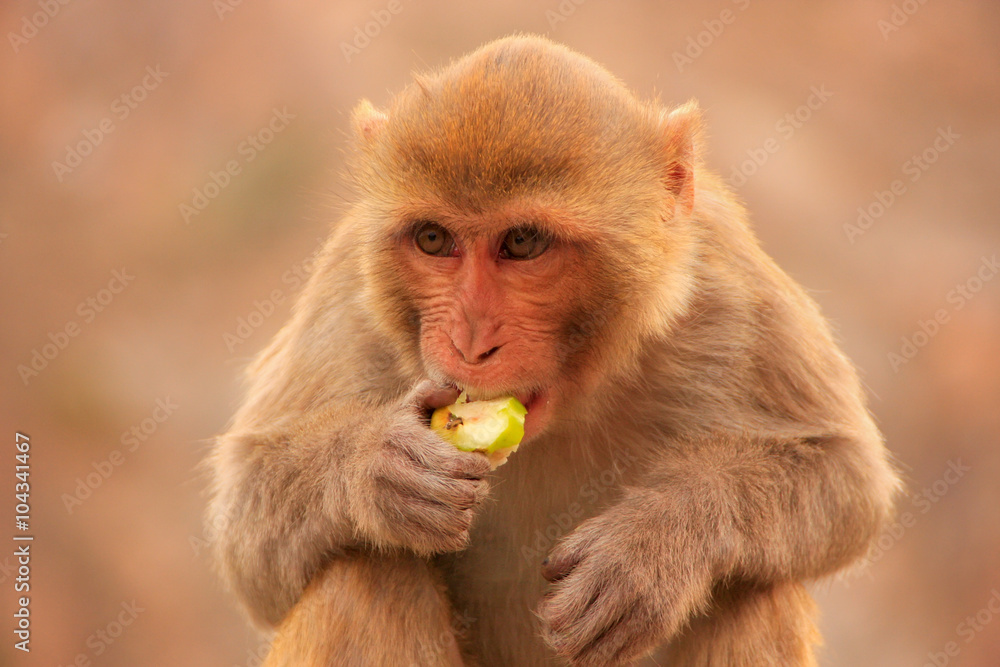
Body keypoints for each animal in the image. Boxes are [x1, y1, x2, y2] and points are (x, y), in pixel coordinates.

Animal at [208, 34, 900, 666]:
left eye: (523, 242)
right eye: (433, 239)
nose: (469, 341)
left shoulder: (728, 282)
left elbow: (844, 474)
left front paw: (655, 544)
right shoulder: (347, 290)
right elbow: (248, 537)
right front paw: (381, 468)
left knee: (753, 591)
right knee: (363, 571)